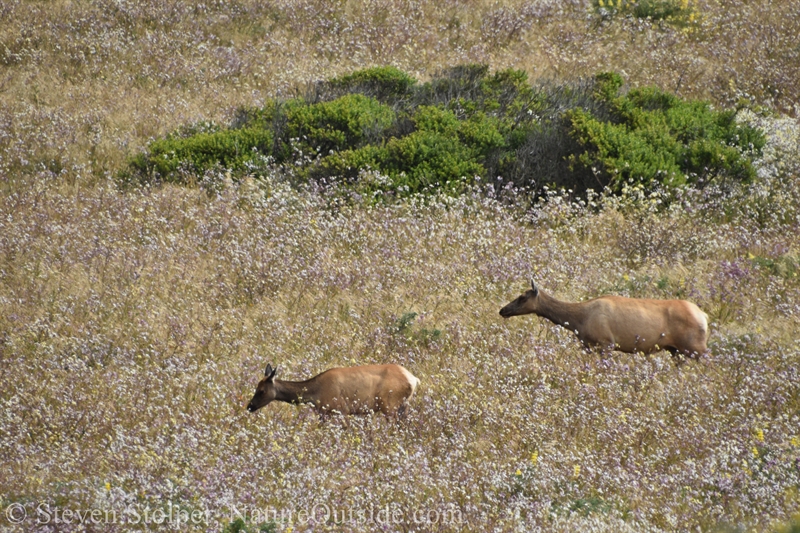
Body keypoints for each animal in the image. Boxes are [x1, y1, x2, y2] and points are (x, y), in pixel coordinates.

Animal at [247, 362, 422, 416]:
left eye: (261, 390)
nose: (250, 406)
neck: (314, 396)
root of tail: (414, 380)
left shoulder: (340, 409)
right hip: (403, 407)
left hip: (390, 406)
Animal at [500, 278, 712, 362]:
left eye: (522, 297)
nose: (503, 310)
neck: (578, 321)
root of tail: (704, 316)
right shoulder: (589, 346)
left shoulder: (606, 343)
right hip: (676, 350)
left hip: (696, 347)